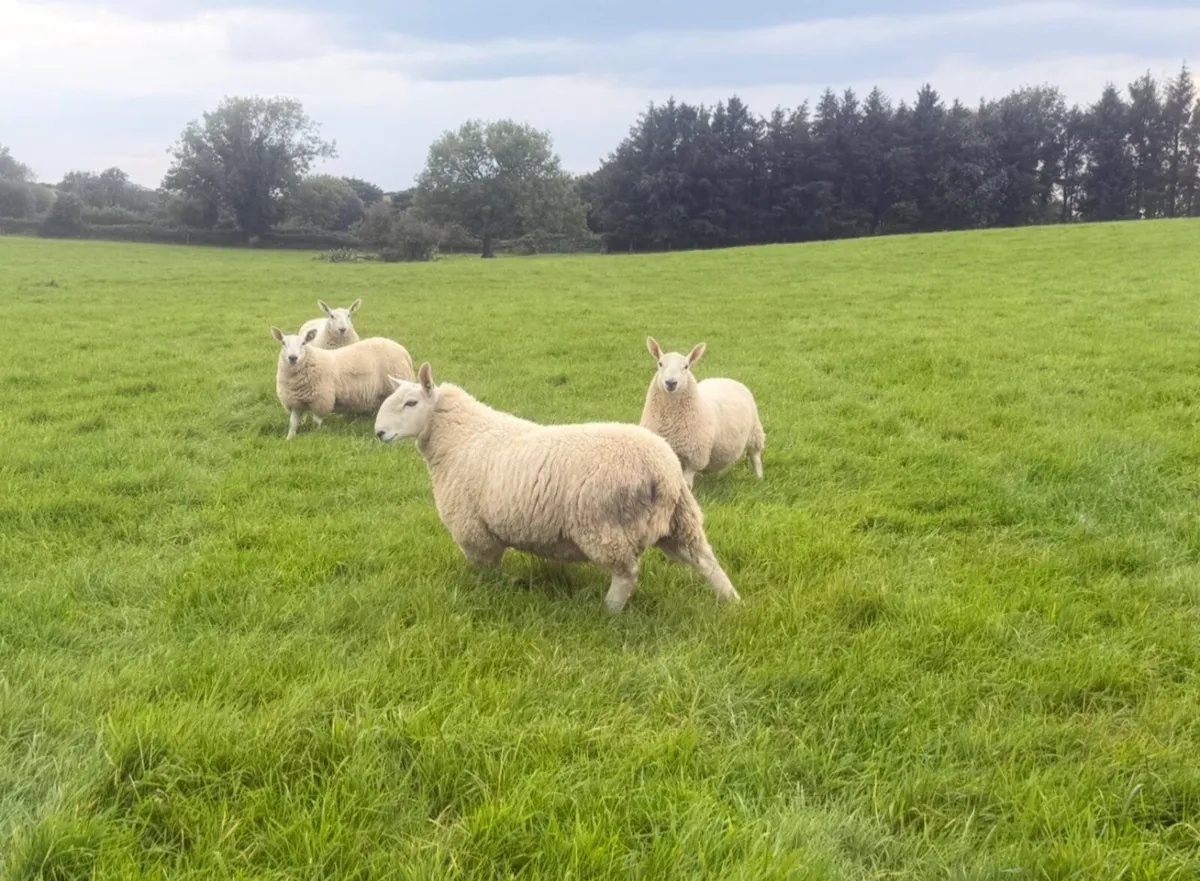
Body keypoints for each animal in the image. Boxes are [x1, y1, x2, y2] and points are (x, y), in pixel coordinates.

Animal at [270, 326, 414, 439]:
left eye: (304, 343)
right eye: (283, 343)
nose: (293, 358)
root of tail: (404, 351)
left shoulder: (321, 400)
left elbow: (317, 422)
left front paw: (317, 435)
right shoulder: (295, 402)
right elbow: (293, 424)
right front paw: (289, 439)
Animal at [374, 362, 741, 613]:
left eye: (410, 403)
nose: (379, 433)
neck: (461, 436)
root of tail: (663, 471)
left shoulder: (474, 530)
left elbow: (485, 571)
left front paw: (487, 594)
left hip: (603, 528)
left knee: (627, 574)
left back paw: (608, 612)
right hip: (681, 520)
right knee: (706, 560)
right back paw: (733, 603)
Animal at [639, 337, 765, 488]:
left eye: (686, 367)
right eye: (660, 364)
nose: (671, 383)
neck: (669, 422)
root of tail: (727, 379)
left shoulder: (694, 457)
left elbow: (687, 484)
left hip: (755, 433)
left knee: (755, 456)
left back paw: (759, 478)